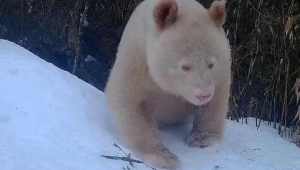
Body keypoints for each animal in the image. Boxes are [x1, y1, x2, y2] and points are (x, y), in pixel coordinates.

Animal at [105, 0, 232, 168]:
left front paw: (201, 138)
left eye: (211, 64)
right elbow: (130, 101)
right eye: (185, 67)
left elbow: (216, 101)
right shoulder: (137, 59)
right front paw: (165, 157)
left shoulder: (221, 73)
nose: (203, 95)